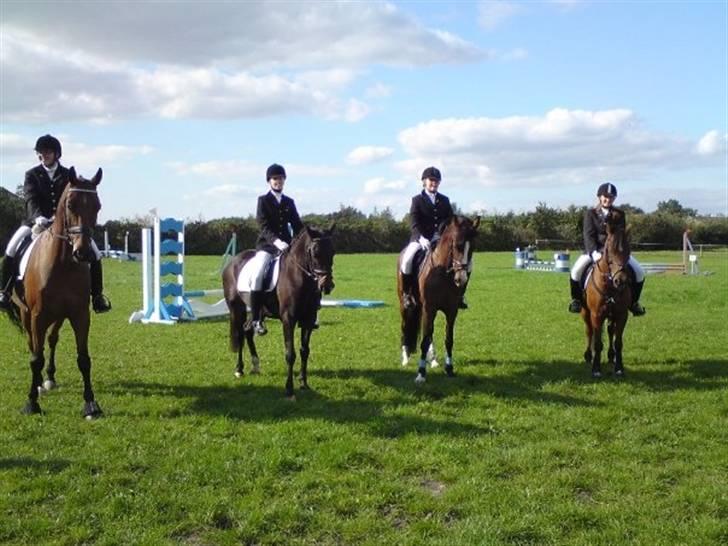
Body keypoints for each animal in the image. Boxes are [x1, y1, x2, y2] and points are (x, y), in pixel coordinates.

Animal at [0, 168, 104, 414]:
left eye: (97, 206)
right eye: (70, 204)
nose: (83, 253)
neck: (63, 263)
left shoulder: (80, 315)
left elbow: (83, 359)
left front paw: (90, 404)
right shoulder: (37, 315)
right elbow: (35, 358)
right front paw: (31, 403)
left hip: (58, 315)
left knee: (52, 338)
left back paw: (49, 378)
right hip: (26, 313)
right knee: (33, 345)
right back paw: (38, 384)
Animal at [222, 223, 336, 398]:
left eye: (333, 252)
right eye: (314, 253)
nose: (327, 285)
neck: (299, 277)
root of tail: (232, 263)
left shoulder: (308, 320)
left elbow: (304, 351)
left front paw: (303, 383)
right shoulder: (288, 319)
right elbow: (290, 354)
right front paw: (289, 389)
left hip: (258, 311)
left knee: (247, 329)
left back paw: (255, 365)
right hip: (236, 308)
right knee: (240, 333)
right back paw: (239, 369)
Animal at [396, 214, 480, 382]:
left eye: (473, 247)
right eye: (458, 245)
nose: (461, 279)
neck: (443, 273)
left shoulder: (451, 310)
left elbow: (448, 339)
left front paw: (449, 368)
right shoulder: (430, 308)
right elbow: (424, 340)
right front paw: (421, 373)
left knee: (429, 334)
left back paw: (433, 360)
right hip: (405, 304)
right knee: (406, 325)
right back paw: (406, 357)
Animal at [580, 208, 632, 378]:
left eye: (629, 250)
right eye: (609, 250)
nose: (620, 281)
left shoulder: (621, 314)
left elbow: (618, 341)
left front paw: (619, 367)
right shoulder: (596, 314)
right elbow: (597, 342)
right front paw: (596, 369)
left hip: (611, 315)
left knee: (610, 331)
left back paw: (611, 356)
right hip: (585, 312)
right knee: (589, 331)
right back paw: (588, 355)